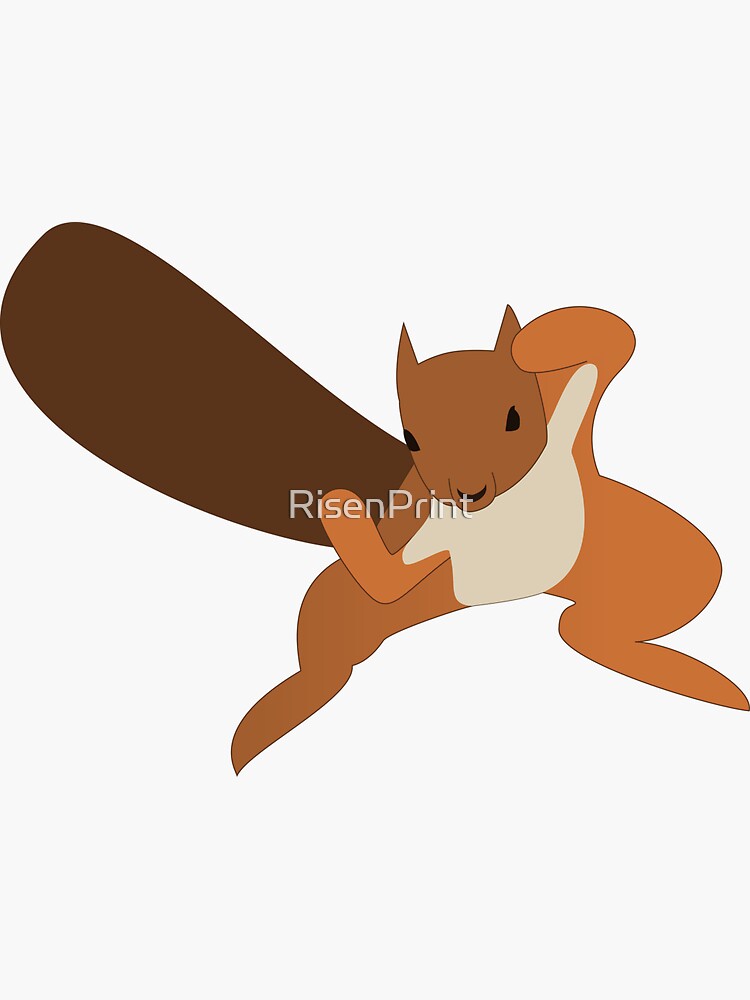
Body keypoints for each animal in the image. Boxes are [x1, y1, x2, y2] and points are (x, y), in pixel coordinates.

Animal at [2, 223, 747, 776]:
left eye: (515, 418)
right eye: (411, 438)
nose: (465, 491)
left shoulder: (570, 413)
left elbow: (610, 338)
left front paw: (538, 338)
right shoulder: (424, 542)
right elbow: (386, 576)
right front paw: (336, 506)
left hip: (643, 557)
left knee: (599, 626)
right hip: (363, 609)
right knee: (333, 657)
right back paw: (279, 711)